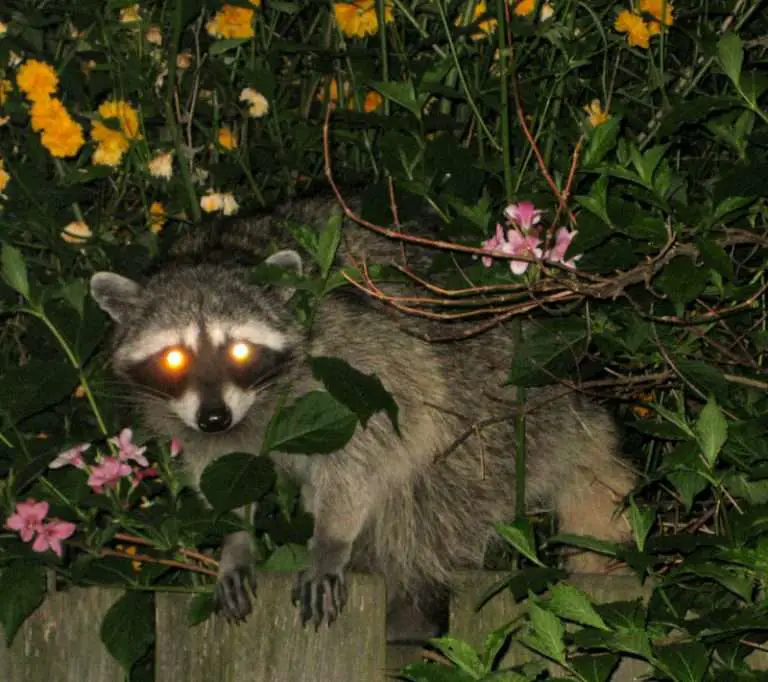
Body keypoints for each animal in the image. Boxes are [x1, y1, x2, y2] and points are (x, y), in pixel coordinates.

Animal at [90, 197, 635, 636]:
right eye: (173, 359)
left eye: (240, 351)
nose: (214, 418)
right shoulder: (191, 416)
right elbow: (219, 472)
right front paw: (236, 539)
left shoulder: (352, 357)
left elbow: (366, 446)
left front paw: (332, 537)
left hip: (494, 411)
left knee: (428, 501)